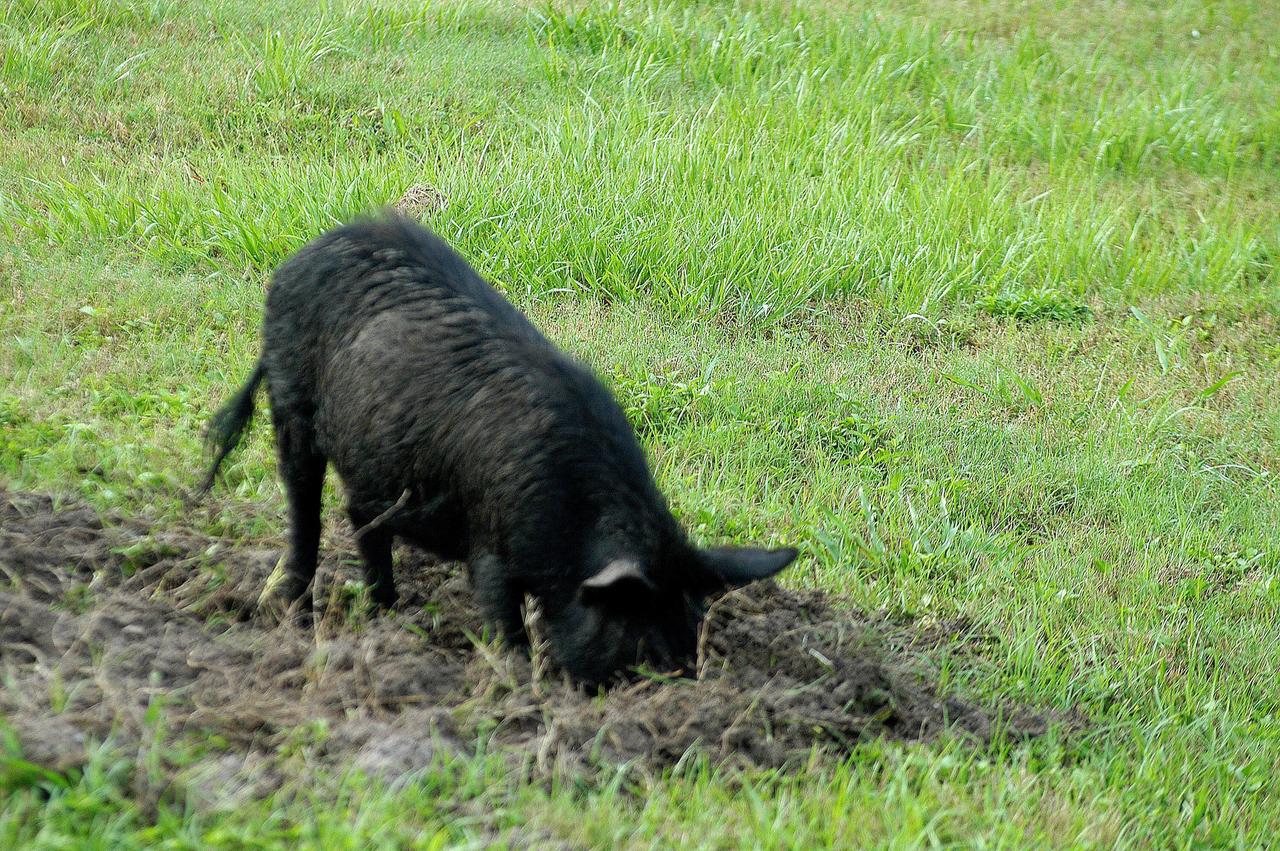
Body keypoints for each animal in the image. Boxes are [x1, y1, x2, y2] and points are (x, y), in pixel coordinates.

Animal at [202, 214, 796, 685]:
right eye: (639, 639)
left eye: (692, 630)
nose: (677, 682)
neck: (573, 528)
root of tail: (298, 257)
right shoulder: (489, 538)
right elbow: (503, 618)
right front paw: (518, 681)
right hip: (290, 397)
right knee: (304, 502)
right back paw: (292, 608)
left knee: (362, 517)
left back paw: (387, 614)